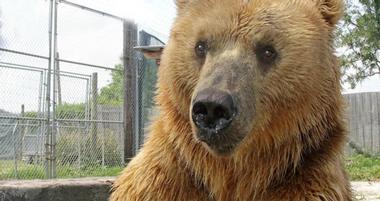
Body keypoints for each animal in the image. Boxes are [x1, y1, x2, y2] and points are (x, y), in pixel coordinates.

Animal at [110, 0, 354, 199]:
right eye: (200, 46)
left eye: (268, 50)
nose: (211, 107)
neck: (227, 172)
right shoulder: (166, 178)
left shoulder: (307, 179)